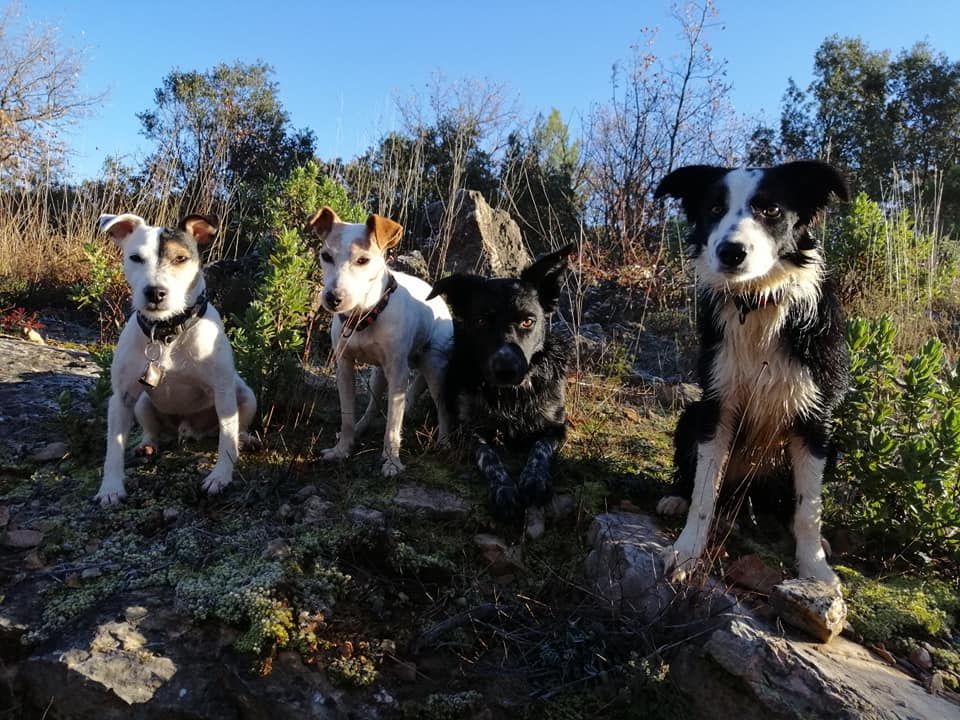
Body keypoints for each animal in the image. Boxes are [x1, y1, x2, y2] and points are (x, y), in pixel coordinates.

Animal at [95, 214, 256, 506]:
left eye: (181, 258)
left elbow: (227, 438)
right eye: (135, 258)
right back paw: (147, 445)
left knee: (237, 428)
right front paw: (110, 488)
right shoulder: (121, 398)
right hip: (142, 404)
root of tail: (188, 430)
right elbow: (114, 447)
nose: (155, 292)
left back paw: (246, 439)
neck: (166, 333)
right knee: (152, 431)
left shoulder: (224, 393)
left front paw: (220, 476)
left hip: (246, 396)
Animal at [308, 207, 454, 478]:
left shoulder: (398, 373)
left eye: (362, 261)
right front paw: (342, 449)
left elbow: (393, 426)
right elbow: (347, 415)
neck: (365, 314)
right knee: (373, 406)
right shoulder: (344, 367)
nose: (333, 298)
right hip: (379, 374)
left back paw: (444, 441)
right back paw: (361, 427)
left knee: (442, 407)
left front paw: (392, 461)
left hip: (435, 369)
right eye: (326, 256)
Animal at [430, 243, 576, 524]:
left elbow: (540, 448)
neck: (511, 395)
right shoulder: (469, 429)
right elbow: (489, 456)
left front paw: (533, 480)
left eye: (528, 321)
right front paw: (504, 490)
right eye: (482, 321)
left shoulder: (556, 426)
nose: (506, 370)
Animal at [652, 159, 848, 584]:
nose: (731, 252)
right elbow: (705, 493)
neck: (757, 302)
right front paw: (687, 551)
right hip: (691, 415)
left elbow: (809, 508)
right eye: (713, 209)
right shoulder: (717, 404)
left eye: (770, 210)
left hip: (834, 441)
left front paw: (815, 569)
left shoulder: (815, 416)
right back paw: (676, 498)